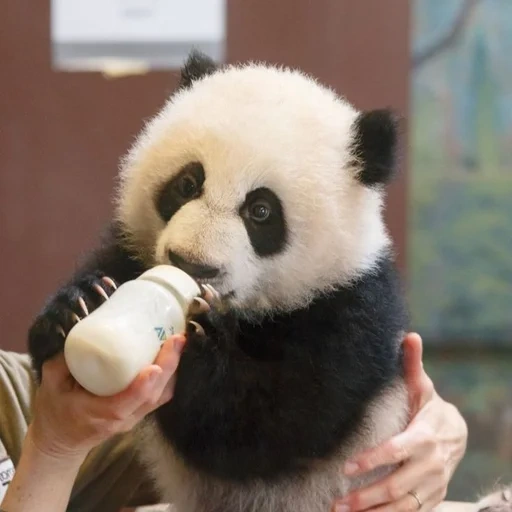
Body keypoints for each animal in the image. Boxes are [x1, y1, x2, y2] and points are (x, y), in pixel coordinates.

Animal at [30, 53, 410, 512]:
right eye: (187, 183)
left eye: (261, 211)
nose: (191, 264)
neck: (249, 311)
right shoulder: (133, 251)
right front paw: (76, 306)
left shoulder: (350, 311)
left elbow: (264, 429)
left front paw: (201, 344)